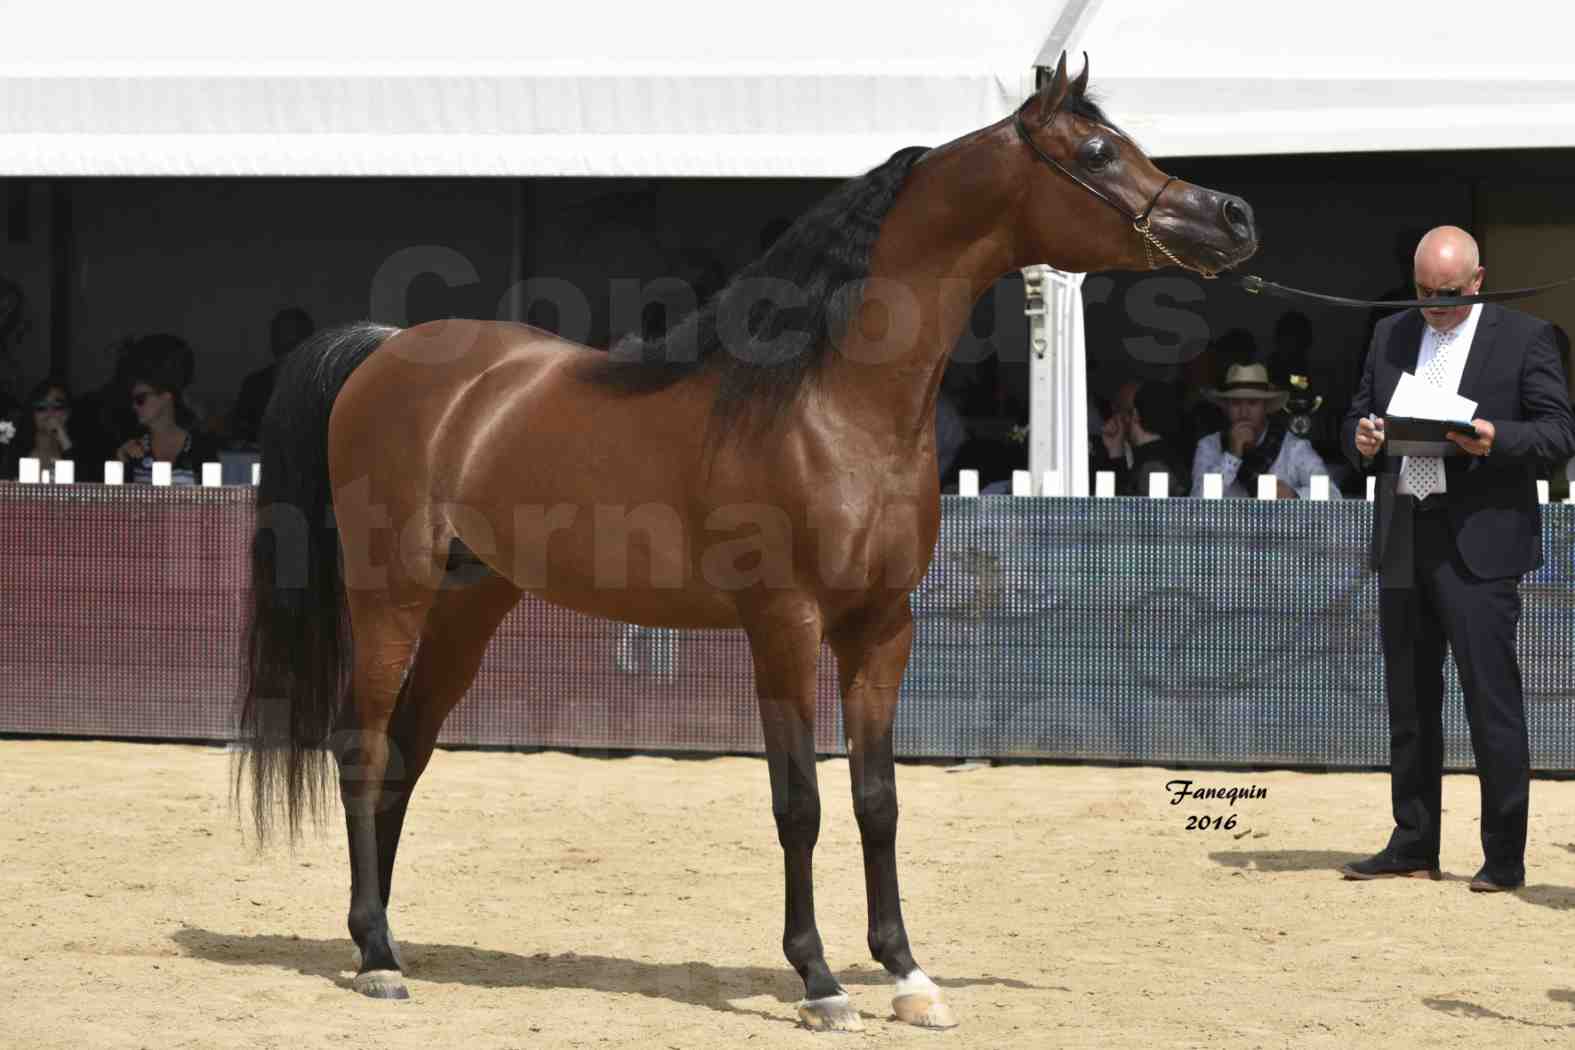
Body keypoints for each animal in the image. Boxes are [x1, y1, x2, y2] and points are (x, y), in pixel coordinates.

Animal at [239, 53, 1260, 1032]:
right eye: (1095, 153)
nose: (1234, 216)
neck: (831, 405)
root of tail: (385, 349)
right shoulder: (783, 624)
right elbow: (798, 801)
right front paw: (819, 981)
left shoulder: (881, 629)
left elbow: (878, 801)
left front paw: (907, 976)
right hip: (391, 594)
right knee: (361, 745)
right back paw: (377, 959)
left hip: (471, 603)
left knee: (405, 754)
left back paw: (381, 938)